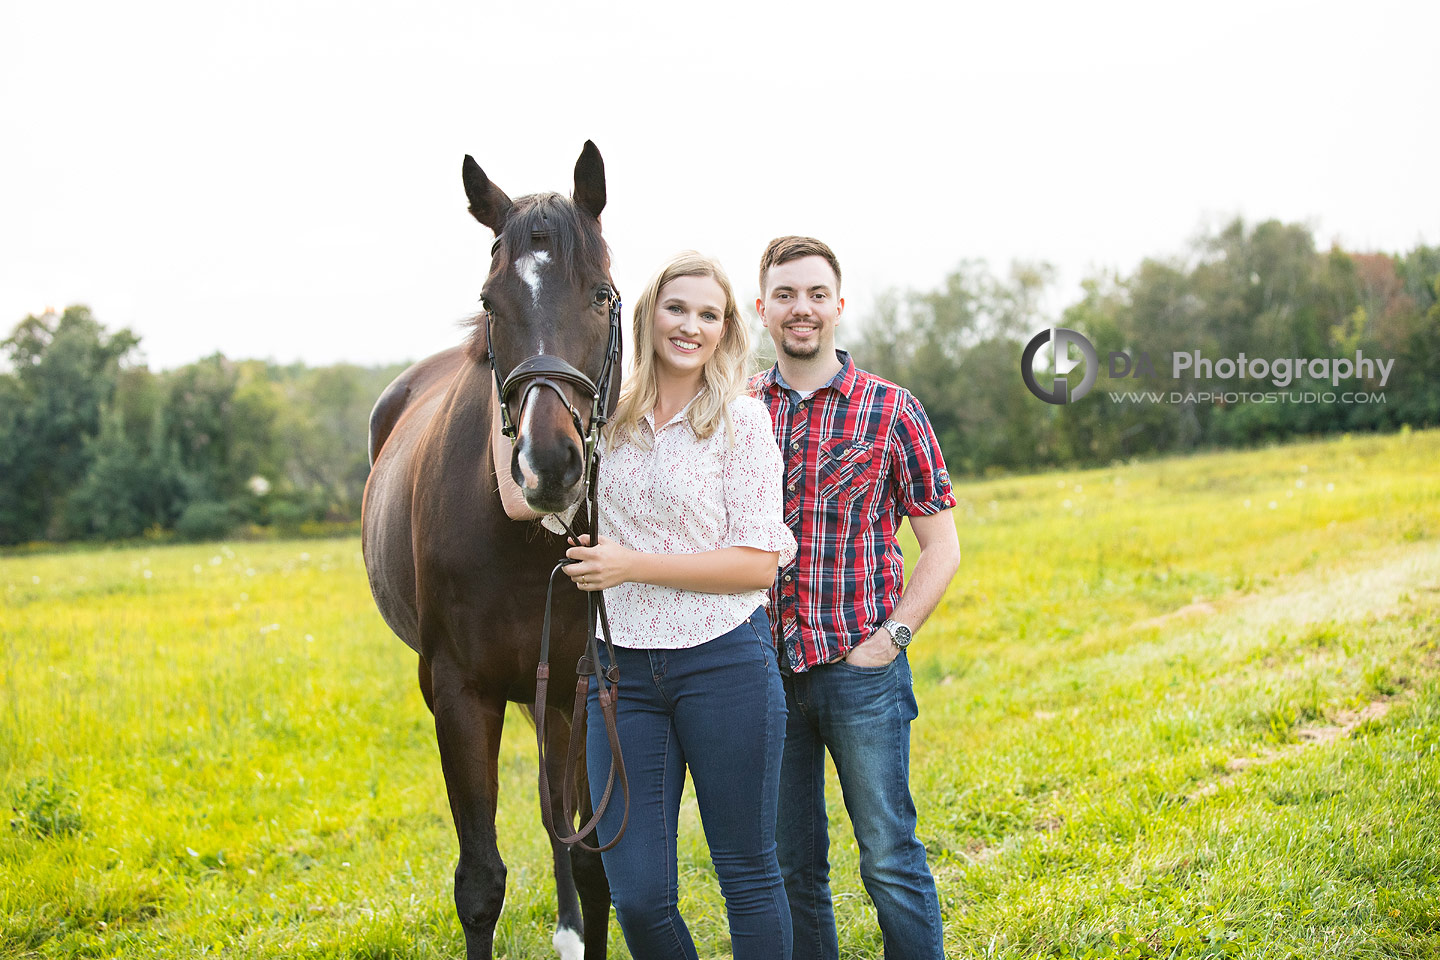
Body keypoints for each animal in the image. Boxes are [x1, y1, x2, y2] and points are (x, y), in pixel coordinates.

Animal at [360, 142, 619, 960]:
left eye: (600, 295)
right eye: (491, 302)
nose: (548, 464)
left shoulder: (584, 688)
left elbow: (590, 856)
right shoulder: (458, 694)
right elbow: (479, 883)